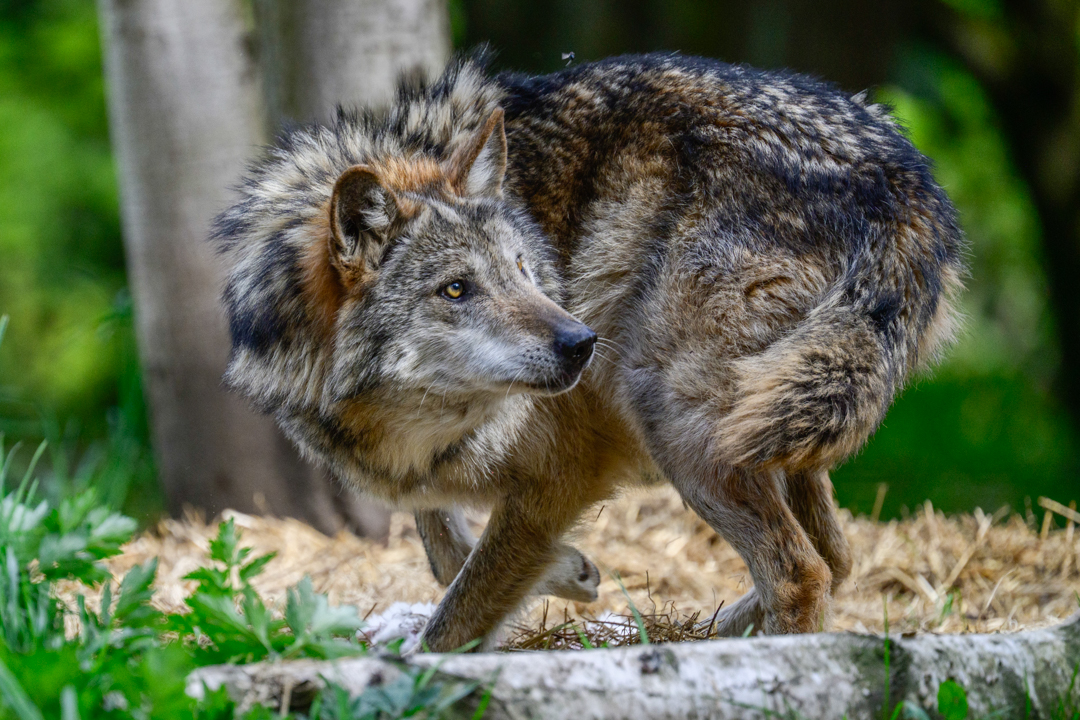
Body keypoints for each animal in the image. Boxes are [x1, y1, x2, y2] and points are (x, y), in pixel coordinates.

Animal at [213, 51, 965, 652]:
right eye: (457, 289)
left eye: (523, 268)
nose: (580, 343)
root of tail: (906, 180)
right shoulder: (444, 476)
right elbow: (447, 551)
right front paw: (569, 572)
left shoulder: (563, 469)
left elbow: (459, 607)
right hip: (774, 429)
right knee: (837, 557)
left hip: (676, 418)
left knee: (803, 572)